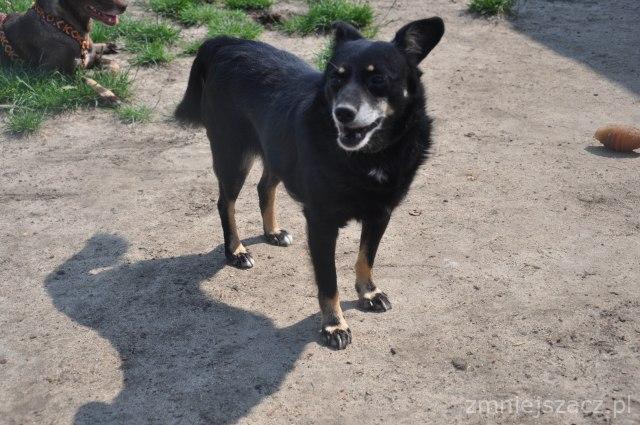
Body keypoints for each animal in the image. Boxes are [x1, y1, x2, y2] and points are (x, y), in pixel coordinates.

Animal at [175, 18, 444, 349]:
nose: (342, 113)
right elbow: (328, 282)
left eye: (378, 78)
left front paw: (368, 292)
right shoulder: (321, 223)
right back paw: (236, 251)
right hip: (232, 155)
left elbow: (366, 258)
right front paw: (334, 325)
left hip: (275, 149)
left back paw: (272, 232)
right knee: (226, 203)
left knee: (264, 187)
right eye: (335, 79)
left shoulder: (381, 214)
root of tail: (227, 42)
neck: (369, 157)